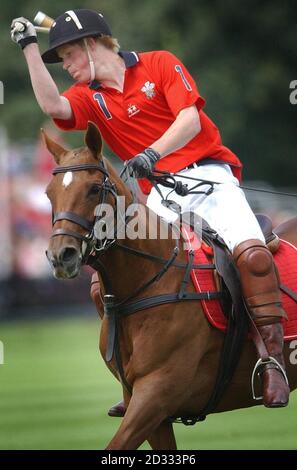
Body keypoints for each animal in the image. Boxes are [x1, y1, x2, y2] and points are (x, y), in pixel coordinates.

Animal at [44, 123, 296, 450]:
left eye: (94, 189)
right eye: (49, 194)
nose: (60, 256)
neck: (150, 278)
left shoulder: (157, 392)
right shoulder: (146, 405)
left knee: (253, 256)